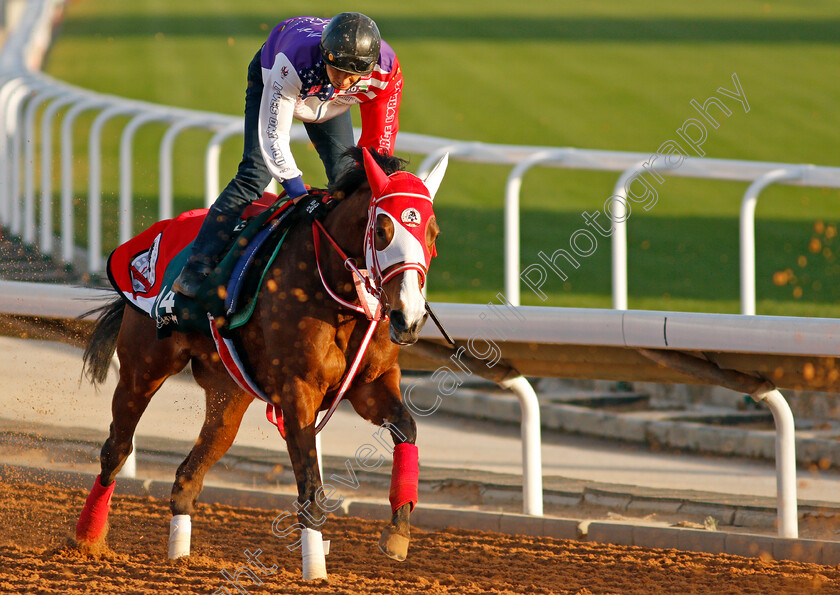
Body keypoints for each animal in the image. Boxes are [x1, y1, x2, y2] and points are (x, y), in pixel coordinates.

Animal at [75, 149, 450, 584]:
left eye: (433, 234)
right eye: (383, 231)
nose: (409, 318)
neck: (336, 291)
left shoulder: (371, 385)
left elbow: (407, 429)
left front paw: (398, 533)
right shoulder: (298, 391)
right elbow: (311, 489)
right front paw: (314, 571)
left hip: (229, 395)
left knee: (187, 475)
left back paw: (179, 557)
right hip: (143, 367)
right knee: (116, 450)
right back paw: (87, 538)